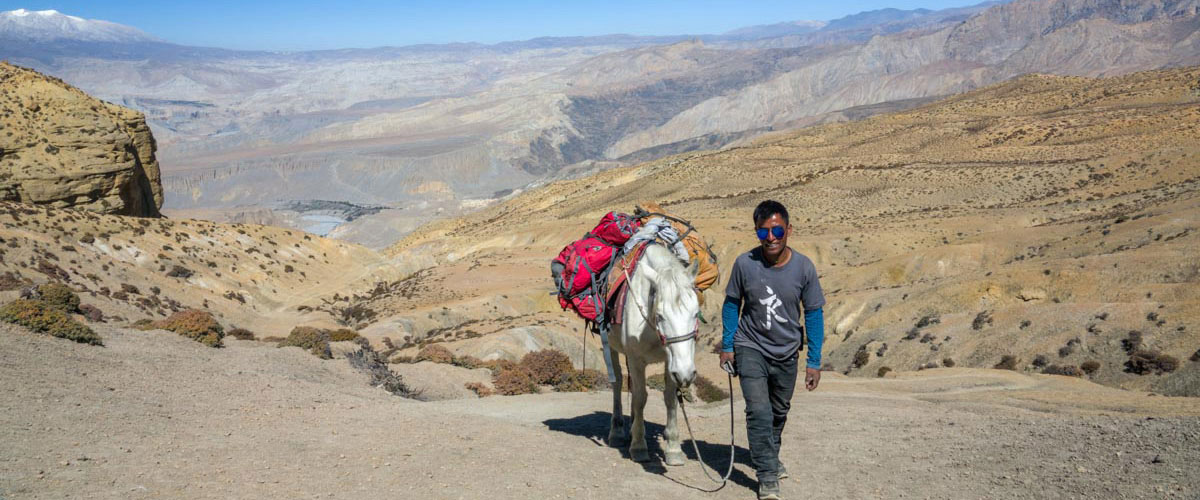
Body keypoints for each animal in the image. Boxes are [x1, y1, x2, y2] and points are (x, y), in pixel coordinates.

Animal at [604, 239, 700, 462]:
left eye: (696, 313)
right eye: (660, 315)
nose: (687, 374)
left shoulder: (671, 362)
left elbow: (670, 398)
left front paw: (673, 448)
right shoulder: (636, 358)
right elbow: (641, 398)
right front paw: (639, 446)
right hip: (610, 346)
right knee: (618, 382)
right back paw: (617, 432)